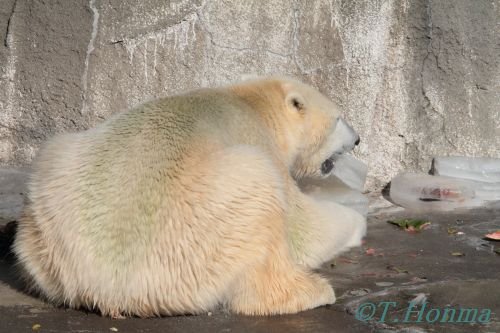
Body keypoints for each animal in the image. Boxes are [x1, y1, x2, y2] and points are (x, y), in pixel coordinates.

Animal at [13, 76, 366, 316]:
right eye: (339, 118)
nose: (358, 138)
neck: (253, 102)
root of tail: (105, 287)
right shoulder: (259, 138)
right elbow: (302, 229)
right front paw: (359, 221)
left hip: (50, 194)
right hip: (204, 231)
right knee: (261, 203)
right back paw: (316, 291)